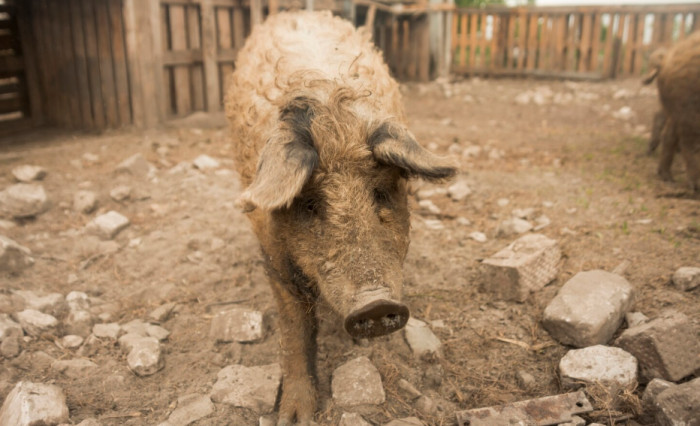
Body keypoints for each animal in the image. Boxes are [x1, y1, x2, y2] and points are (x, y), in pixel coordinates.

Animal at [225, 11, 456, 425]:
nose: (376, 305)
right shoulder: (275, 263)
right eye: (311, 204)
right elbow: (296, 330)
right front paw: (295, 417)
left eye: (380, 193)